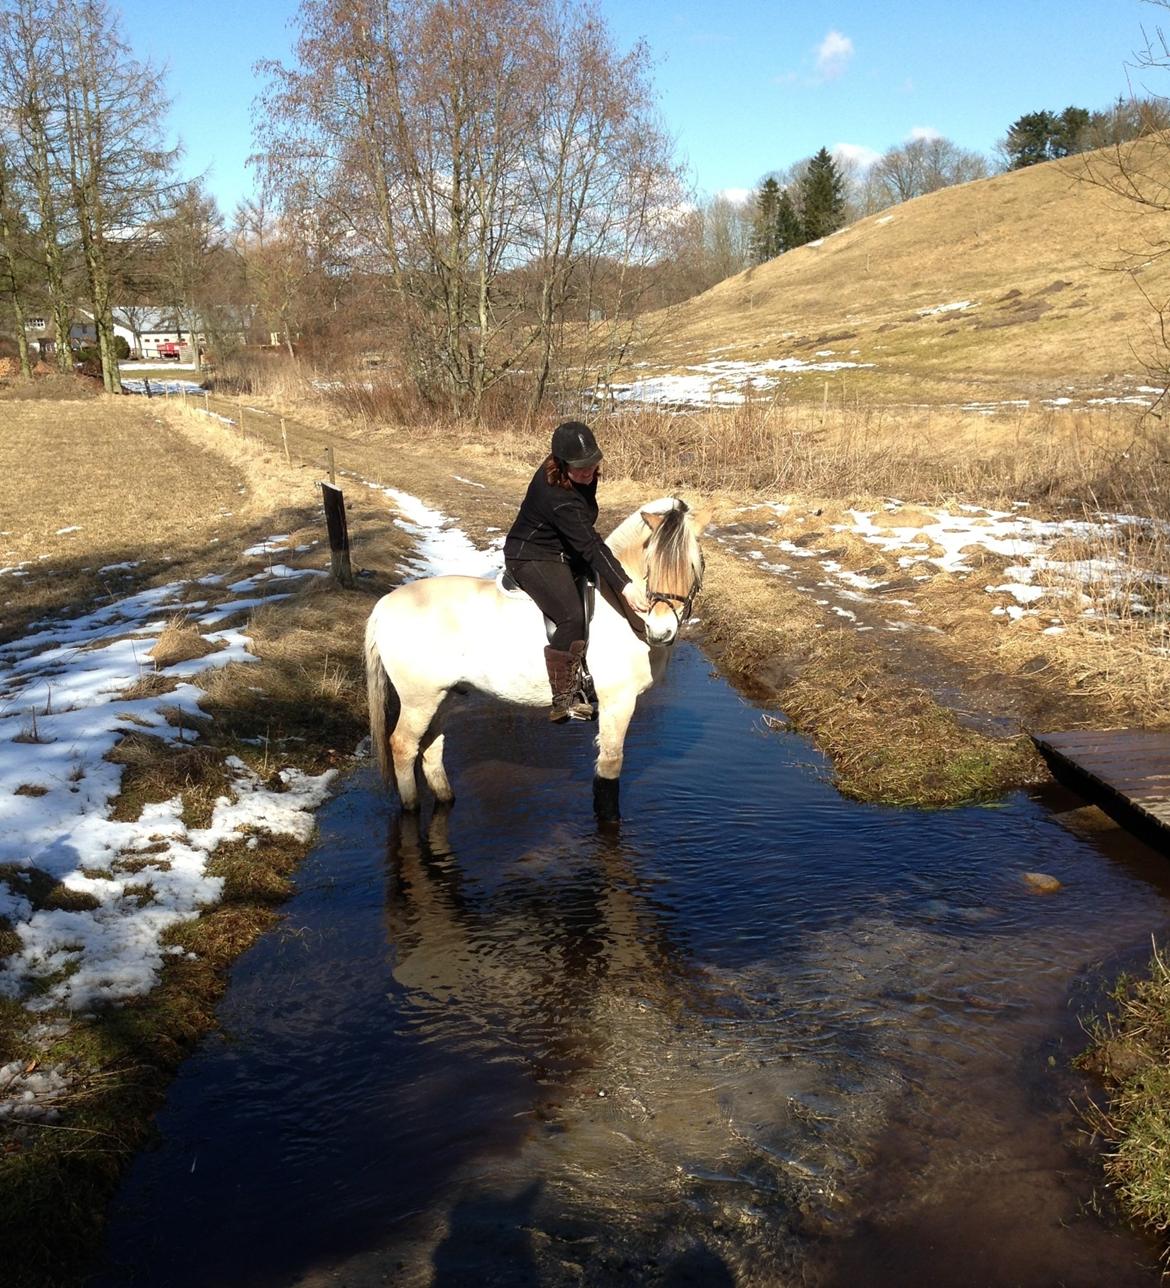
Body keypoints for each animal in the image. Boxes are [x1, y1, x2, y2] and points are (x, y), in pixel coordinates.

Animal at [363, 497, 706, 819]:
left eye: (692, 565)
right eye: (650, 566)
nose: (661, 631)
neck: (619, 607)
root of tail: (383, 605)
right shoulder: (618, 702)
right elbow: (609, 769)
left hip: (442, 695)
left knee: (432, 746)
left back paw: (446, 798)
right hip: (418, 698)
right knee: (403, 746)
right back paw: (410, 807)